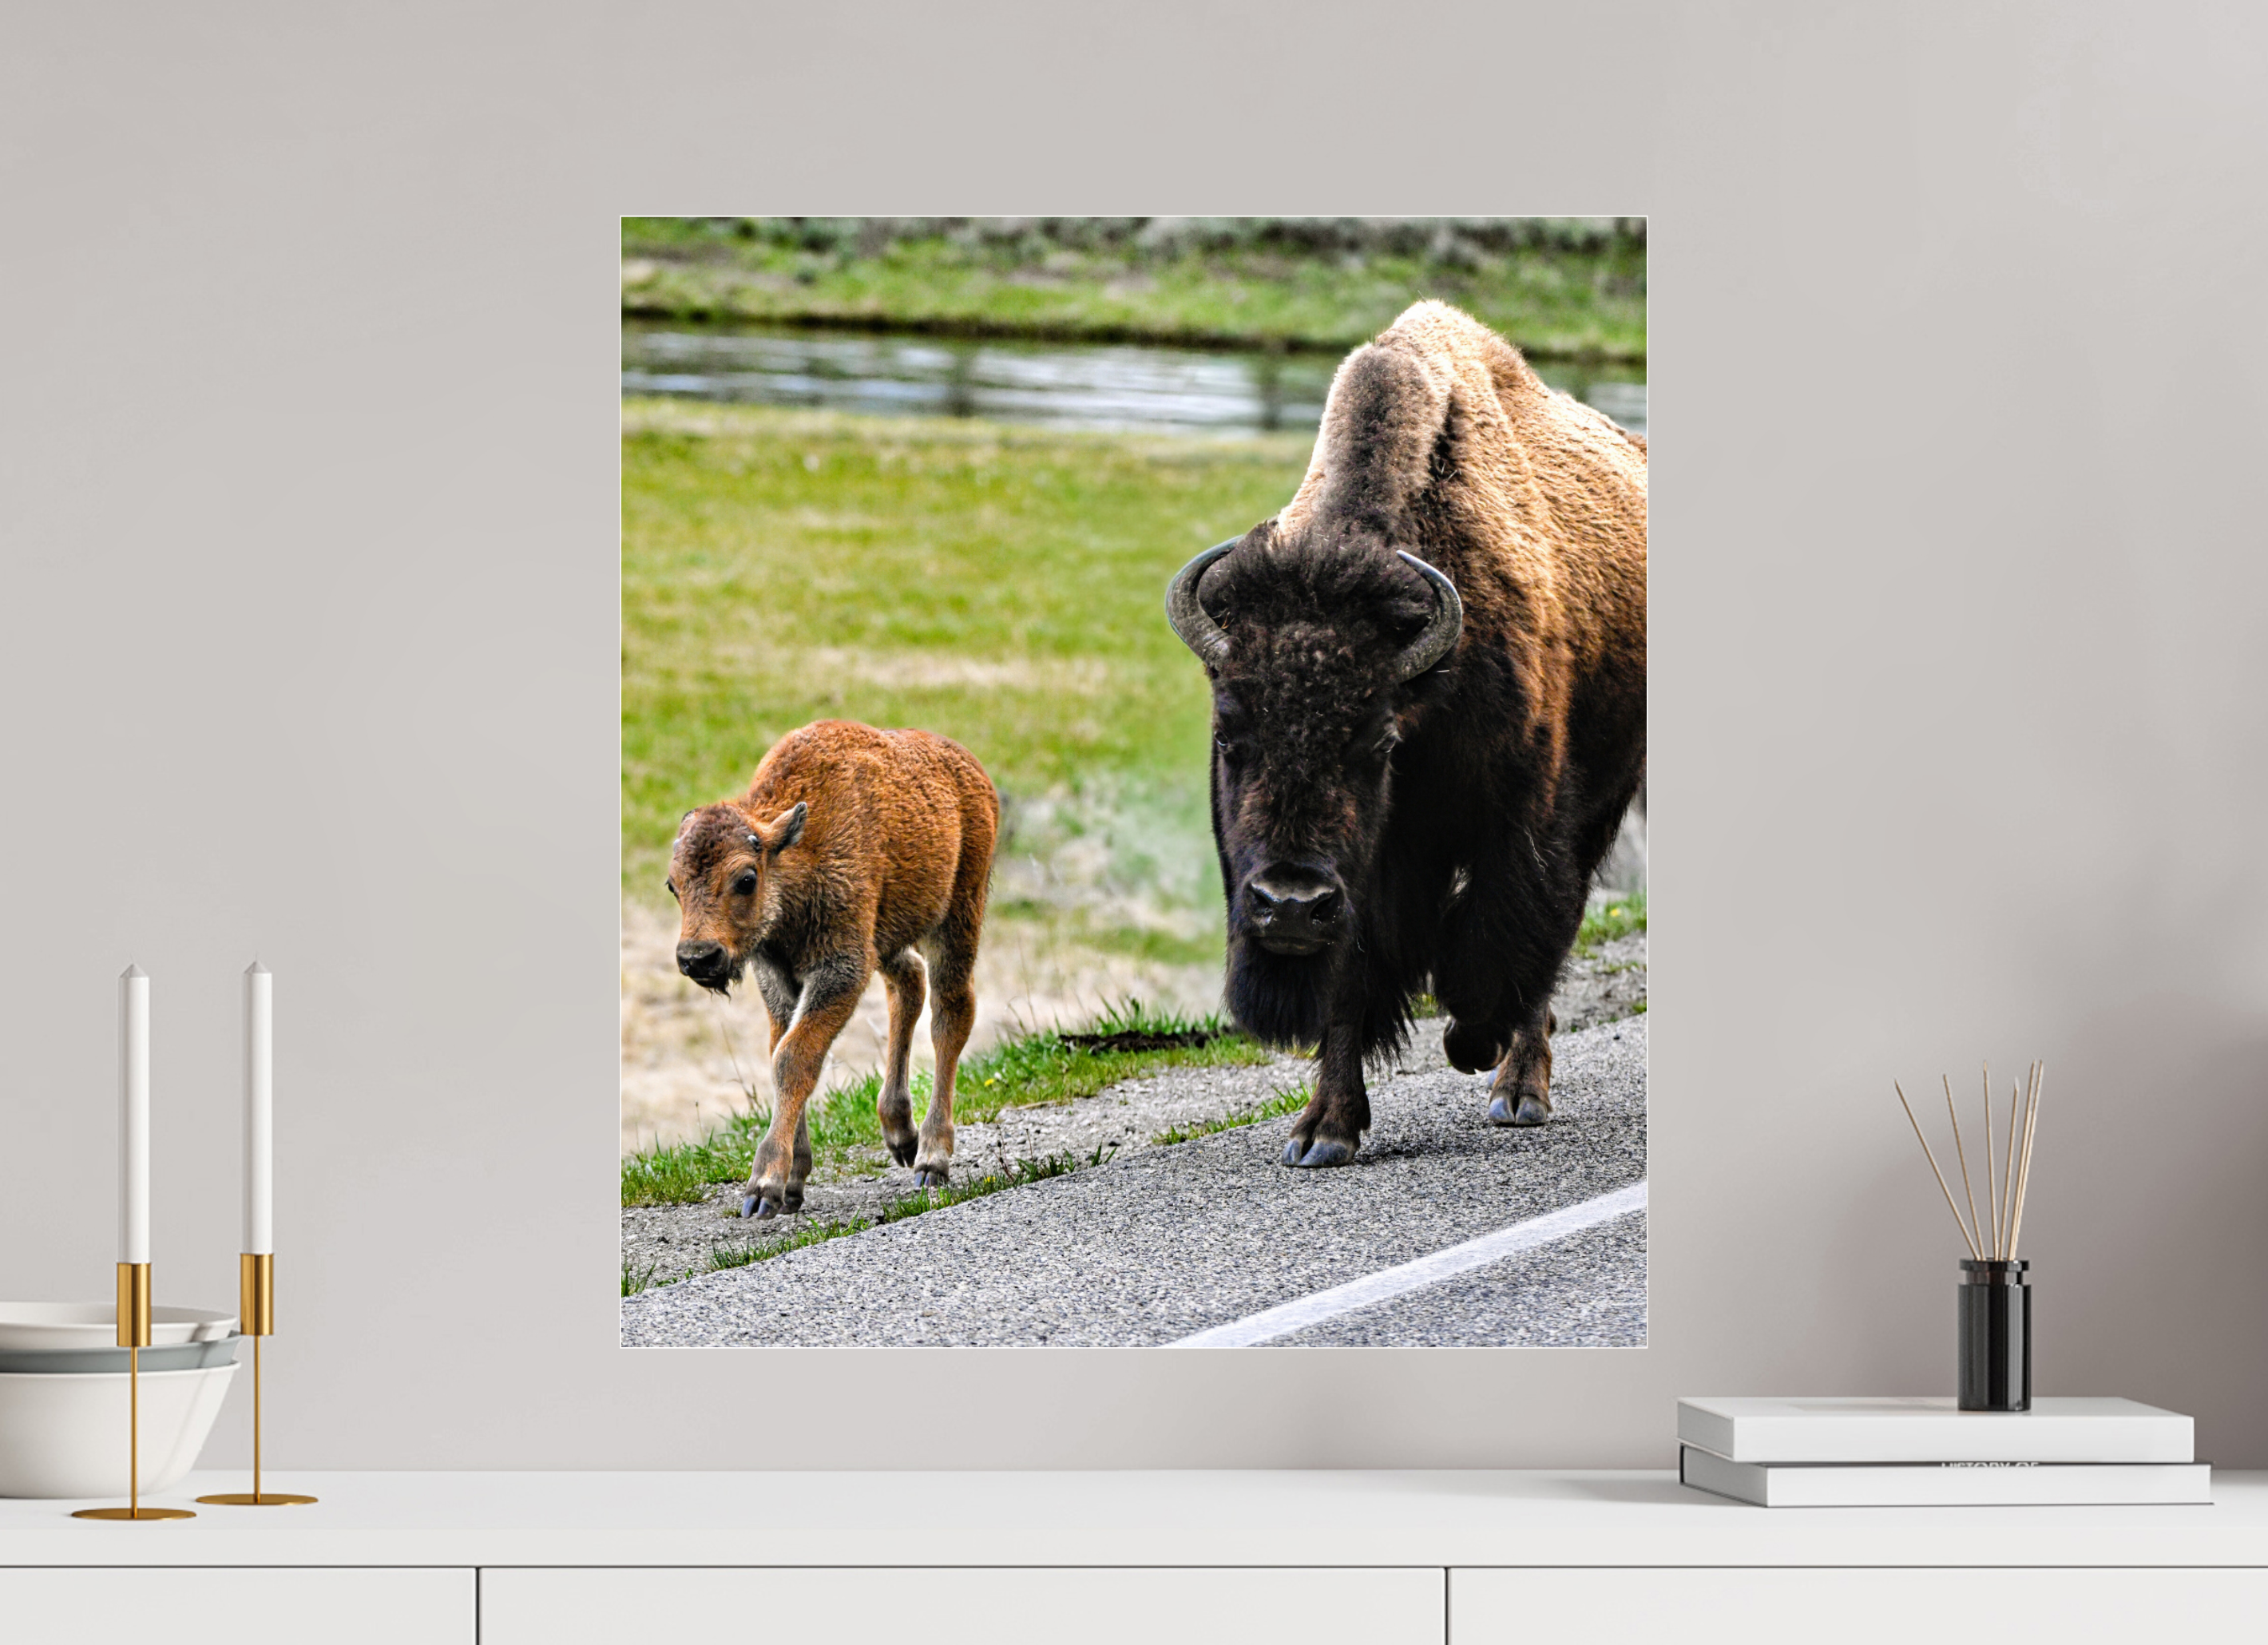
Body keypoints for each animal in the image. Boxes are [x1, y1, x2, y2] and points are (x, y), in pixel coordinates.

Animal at [668, 720, 998, 1216]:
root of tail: (971, 770)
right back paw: (900, 1133)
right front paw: (792, 1182)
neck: (794, 854)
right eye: (673, 885)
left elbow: (793, 1058)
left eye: (746, 879)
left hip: (958, 917)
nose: (697, 957)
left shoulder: (839, 971)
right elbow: (782, 1051)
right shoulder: (781, 980)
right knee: (909, 984)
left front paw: (764, 1187)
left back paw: (930, 1159)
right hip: (887, 938)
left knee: (950, 1016)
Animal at [1166, 301, 1646, 1167]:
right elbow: (1347, 986)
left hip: (1604, 797)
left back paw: (1516, 1089)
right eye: (1228, 734)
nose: (1289, 904)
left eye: (1379, 742)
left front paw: (1469, 1043)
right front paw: (1322, 1131)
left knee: (1545, 946)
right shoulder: (1363, 882)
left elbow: (1500, 941)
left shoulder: (1519, 819)